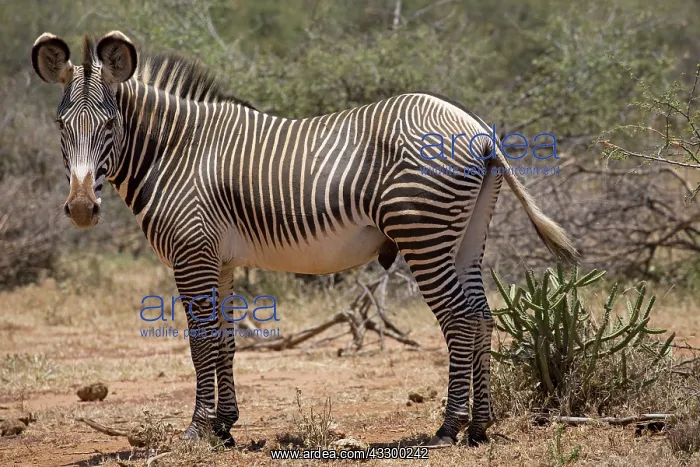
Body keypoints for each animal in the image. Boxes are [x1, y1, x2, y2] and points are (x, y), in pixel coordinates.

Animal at [32, 31, 577, 447]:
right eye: (60, 124)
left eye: (110, 124)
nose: (81, 209)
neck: (175, 152)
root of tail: (478, 129)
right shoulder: (220, 260)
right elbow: (225, 340)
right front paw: (225, 427)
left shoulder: (191, 255)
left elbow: (201, 341)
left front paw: (197, 431)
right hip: (464, 237)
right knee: (482, 318)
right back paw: (479, 429)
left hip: (422, 233)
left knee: (461, 321)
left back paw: (448, 428)